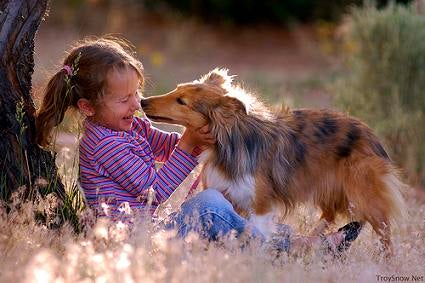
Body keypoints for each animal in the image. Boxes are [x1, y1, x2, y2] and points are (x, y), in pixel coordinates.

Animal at [141, 69, 406, 255]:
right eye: (176, 91)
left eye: (182, 101)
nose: (142, 101)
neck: (226, 142)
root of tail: (371, 134)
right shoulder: (228, 196)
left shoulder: (260, 204)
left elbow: (256, 233)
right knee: (330, 215)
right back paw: (317, 242)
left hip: (364, 194)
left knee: (385, 233)